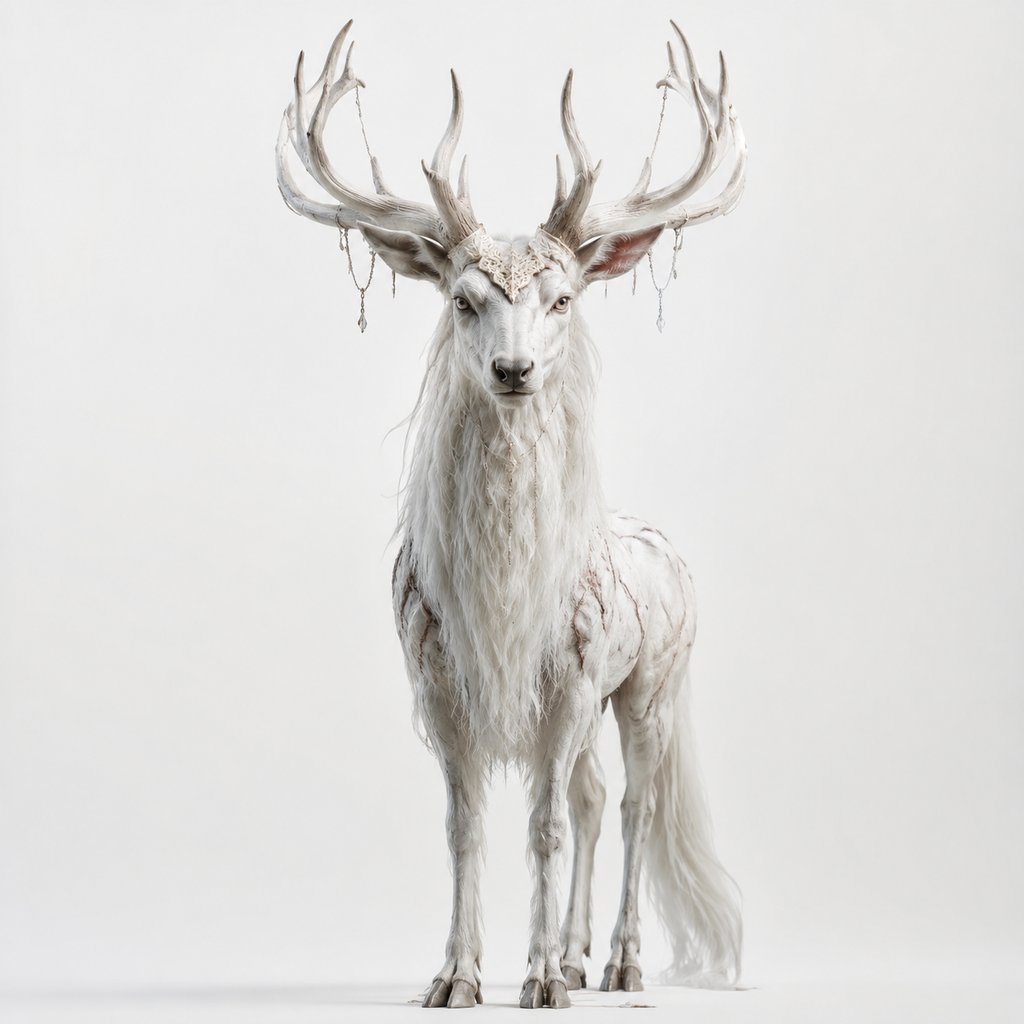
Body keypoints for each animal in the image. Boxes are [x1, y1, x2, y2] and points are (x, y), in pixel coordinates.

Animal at [276, 18, 746, 1010]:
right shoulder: (439, 679)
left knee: (633, 802)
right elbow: (466, 826)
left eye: (562, 297)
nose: (515, 369)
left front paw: (535, 982)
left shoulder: (569, 674)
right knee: (594, 797)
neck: (499, 598)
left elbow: (542, 826)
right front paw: (455, 976)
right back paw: (576, 952)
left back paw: (618, 961)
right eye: (464, 299)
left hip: (653, 683)